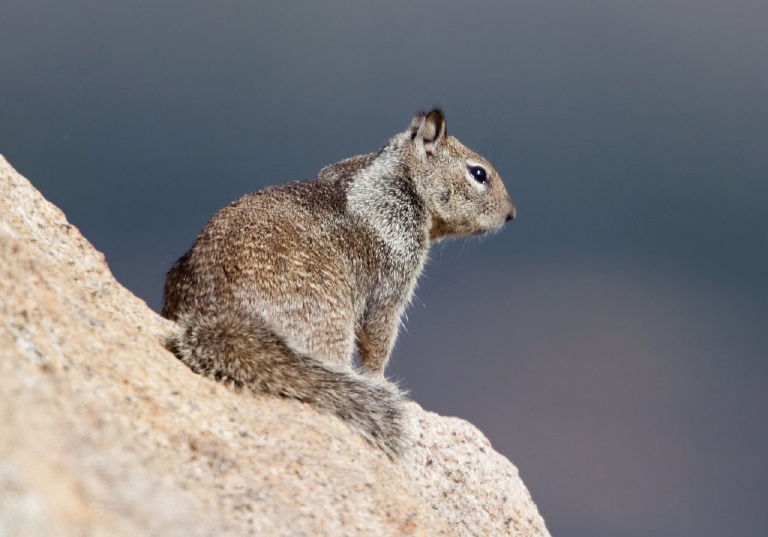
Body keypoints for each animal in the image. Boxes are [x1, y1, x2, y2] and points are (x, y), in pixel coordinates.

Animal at [166, 109, 516, 456]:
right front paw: (381, 381)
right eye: (479, 174)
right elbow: (378, 334)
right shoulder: (395, 270)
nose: (512, 214)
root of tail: (219, 316)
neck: (399, 178)